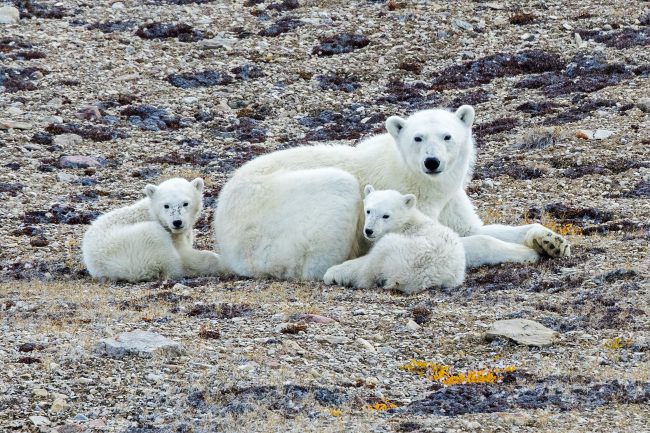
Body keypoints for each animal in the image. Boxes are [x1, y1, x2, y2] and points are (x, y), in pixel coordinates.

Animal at [82, 177, 221, 282]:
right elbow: (184, 254)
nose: (177, 222)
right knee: (171, 261)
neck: (151, 212)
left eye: (185, 203)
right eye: (166, 205)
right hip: (133, 245)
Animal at [212, 105, 570, 280]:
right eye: (417, 137)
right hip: (271, 220)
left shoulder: (449, 200)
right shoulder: (400, 204)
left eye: (447, 136)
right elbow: (460, 240)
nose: (432, 161)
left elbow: (472, 227)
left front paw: (550, 240)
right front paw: (525, 253)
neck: (417, 179)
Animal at [323, 186, 466, 294]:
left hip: (401, 252)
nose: (369, 230)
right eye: (368, 211)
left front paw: (332, 272)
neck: (406, 224)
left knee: (369, 267)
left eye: (386, 215)